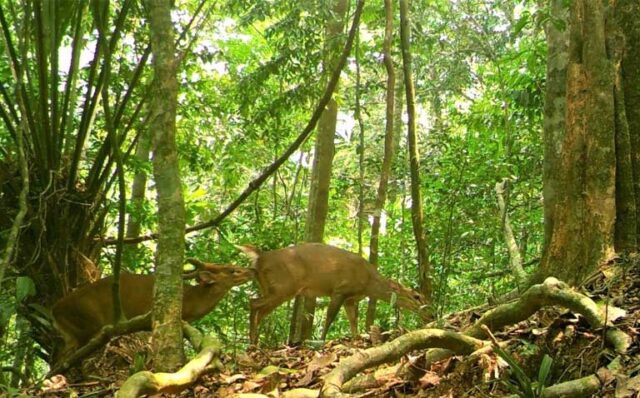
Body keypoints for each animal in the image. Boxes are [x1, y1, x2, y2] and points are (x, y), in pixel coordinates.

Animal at [50, 258, 255, 364]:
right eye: (232, 270)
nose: (252, 270)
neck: (191, 299)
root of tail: (54, 310)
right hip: (88, 324)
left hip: (72, 334)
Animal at [238, 243, 428, 346]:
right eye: (416, 296)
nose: (430, 313)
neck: (368, 282)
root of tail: (260, 257)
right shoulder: (340, 290)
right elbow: (329, 318)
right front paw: (320, 340)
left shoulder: (350, 299)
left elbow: (353, 320)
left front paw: (357, 338)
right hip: (283, 286)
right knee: (253, 303)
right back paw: (252, 343)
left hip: (272, 288)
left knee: (259, 310)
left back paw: (254, 343)